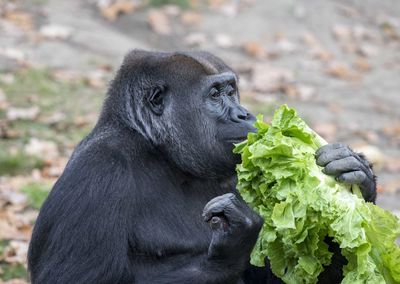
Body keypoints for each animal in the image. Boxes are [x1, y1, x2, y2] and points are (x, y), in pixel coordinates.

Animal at [27, 51, 376, 284]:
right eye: (215, 94)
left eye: (232, 91)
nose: (244, 114)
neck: (159, 150)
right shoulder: (97, 173)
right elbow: (79, 278)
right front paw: (228, 250)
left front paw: (356, 175)